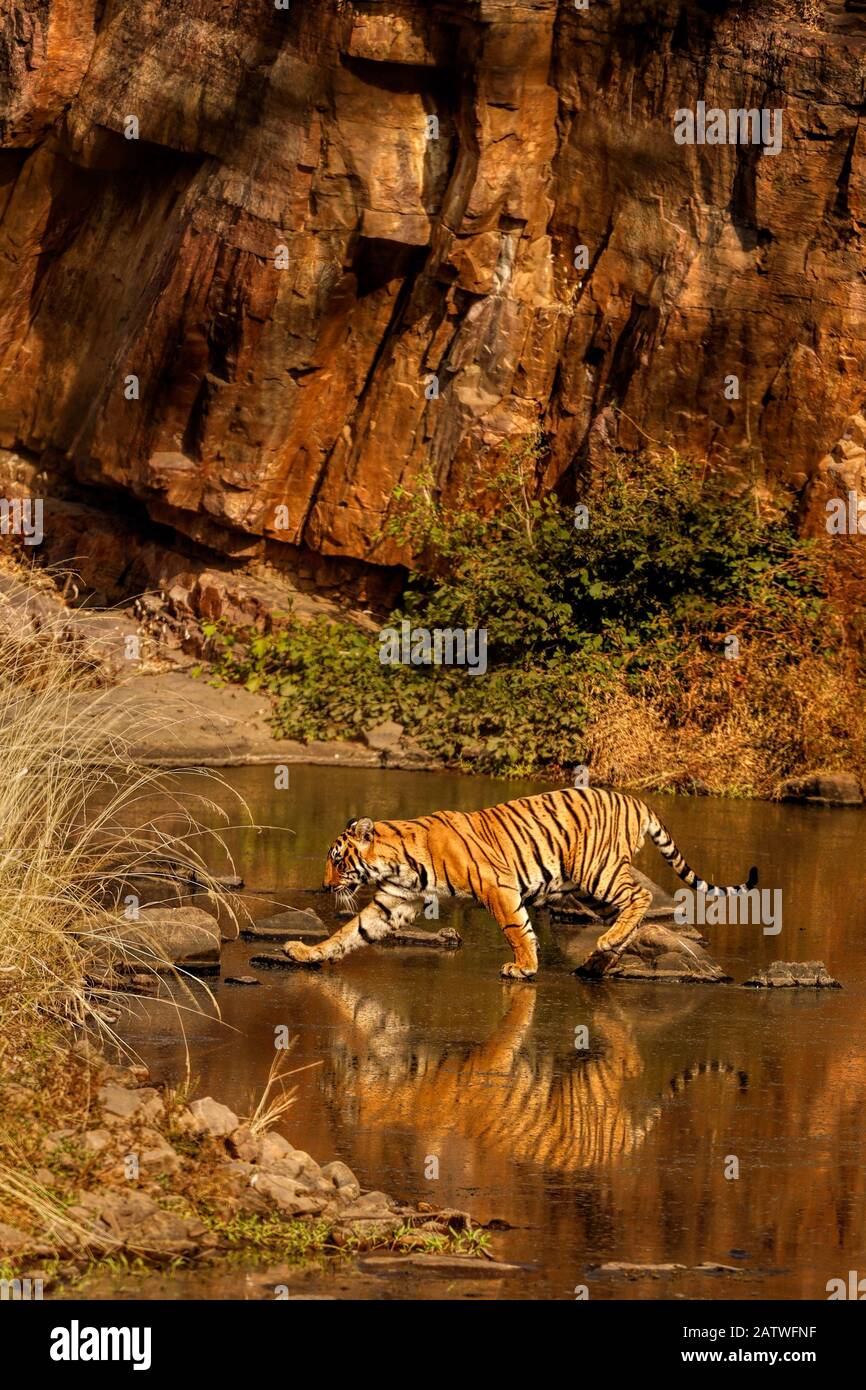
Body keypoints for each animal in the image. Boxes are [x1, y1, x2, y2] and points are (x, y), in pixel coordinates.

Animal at [284, 783, 756, 978]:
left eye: (337, 862)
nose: (324, 887)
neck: (396, 863)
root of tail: (636, 801)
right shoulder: (394, 903)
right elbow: (351, 932)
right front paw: (306, 953)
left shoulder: (498, 887)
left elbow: (517, 929)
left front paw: (524, 967)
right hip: (590, 887)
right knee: (630, 910)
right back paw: (601, 960)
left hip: (595, 871)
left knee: (639, 894)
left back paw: (604, 947)